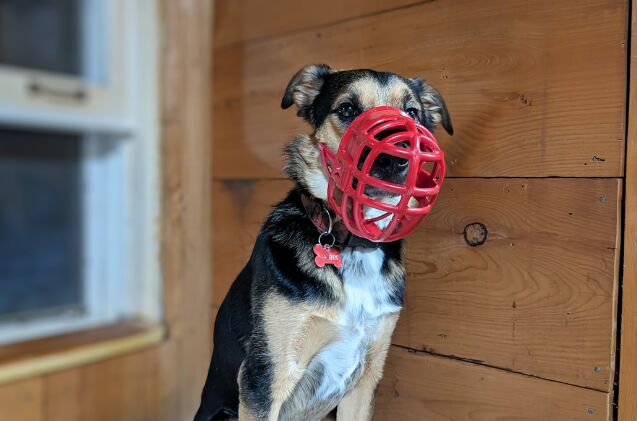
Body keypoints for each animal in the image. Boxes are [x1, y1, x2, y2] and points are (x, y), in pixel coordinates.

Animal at [196, 63, 450, 420]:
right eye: (347, 109)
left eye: (412, 113)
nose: (396, 158)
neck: (354, 246)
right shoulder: (266, 376)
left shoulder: (365, 380)